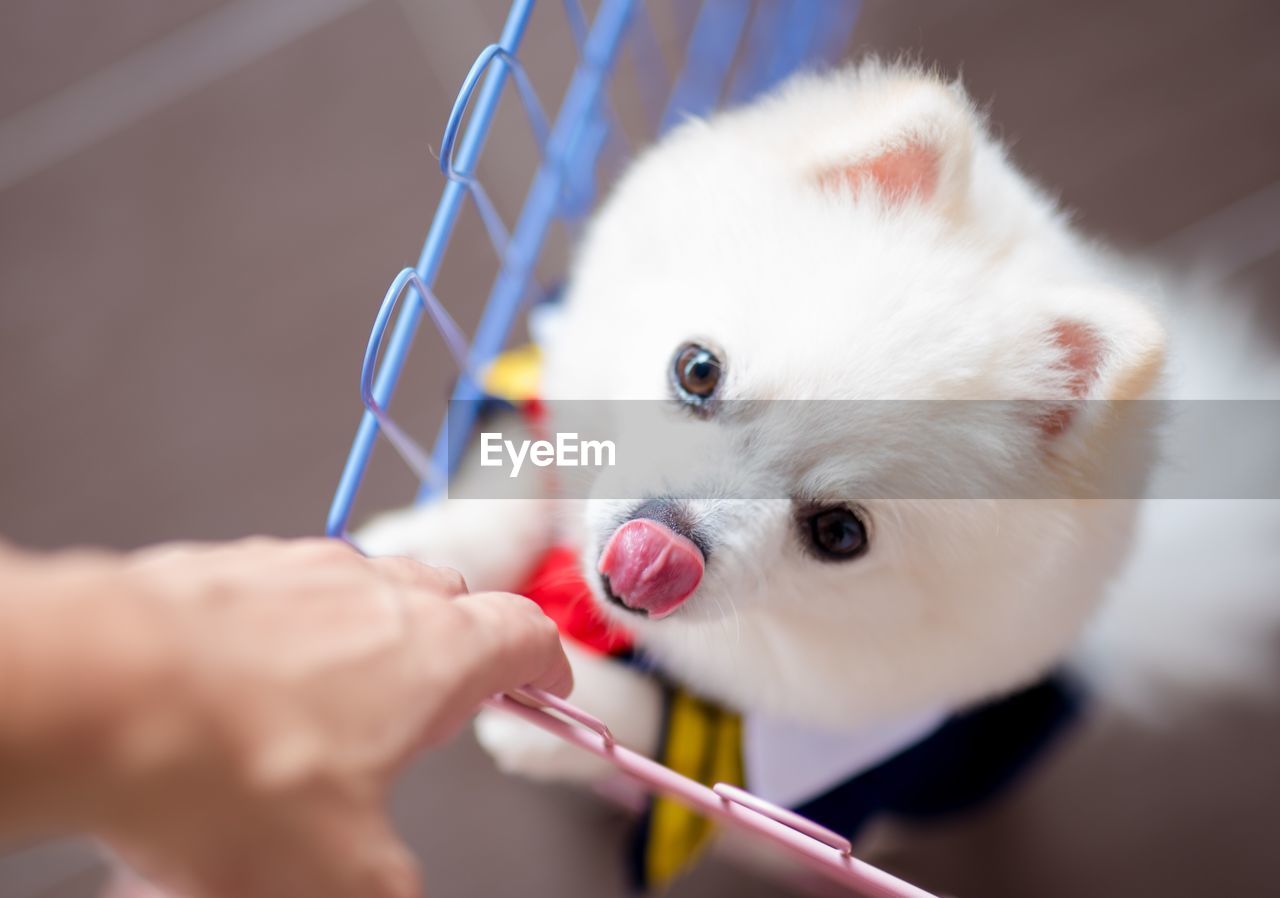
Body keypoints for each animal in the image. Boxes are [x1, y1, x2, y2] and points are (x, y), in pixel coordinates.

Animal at [360, 65, 1280, 844]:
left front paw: (553, 706)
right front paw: (424, 557)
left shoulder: (839, 767)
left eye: (839, 533)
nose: (652, 551)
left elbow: (688, 760)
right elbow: (530, 464)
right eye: (697, 370)